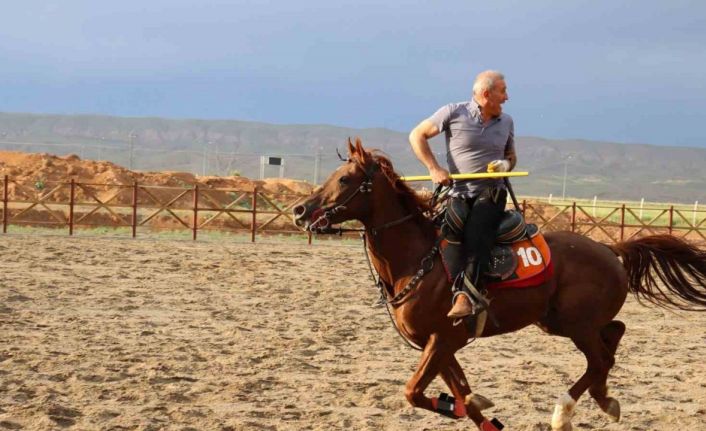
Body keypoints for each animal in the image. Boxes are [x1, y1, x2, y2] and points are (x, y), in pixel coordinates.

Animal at [292, 140, 704, 430]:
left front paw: (458, 406)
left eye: (344, 179)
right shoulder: (439, 344)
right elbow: (460, 390)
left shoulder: (443, 338)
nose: (299, 210)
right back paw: (604, 399)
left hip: (576, 325)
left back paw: (564, 412)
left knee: (600, 357)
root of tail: (608, 248)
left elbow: (414, 391)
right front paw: (473, 407)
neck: (419, 261)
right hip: (557, 321)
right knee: (614, 337)